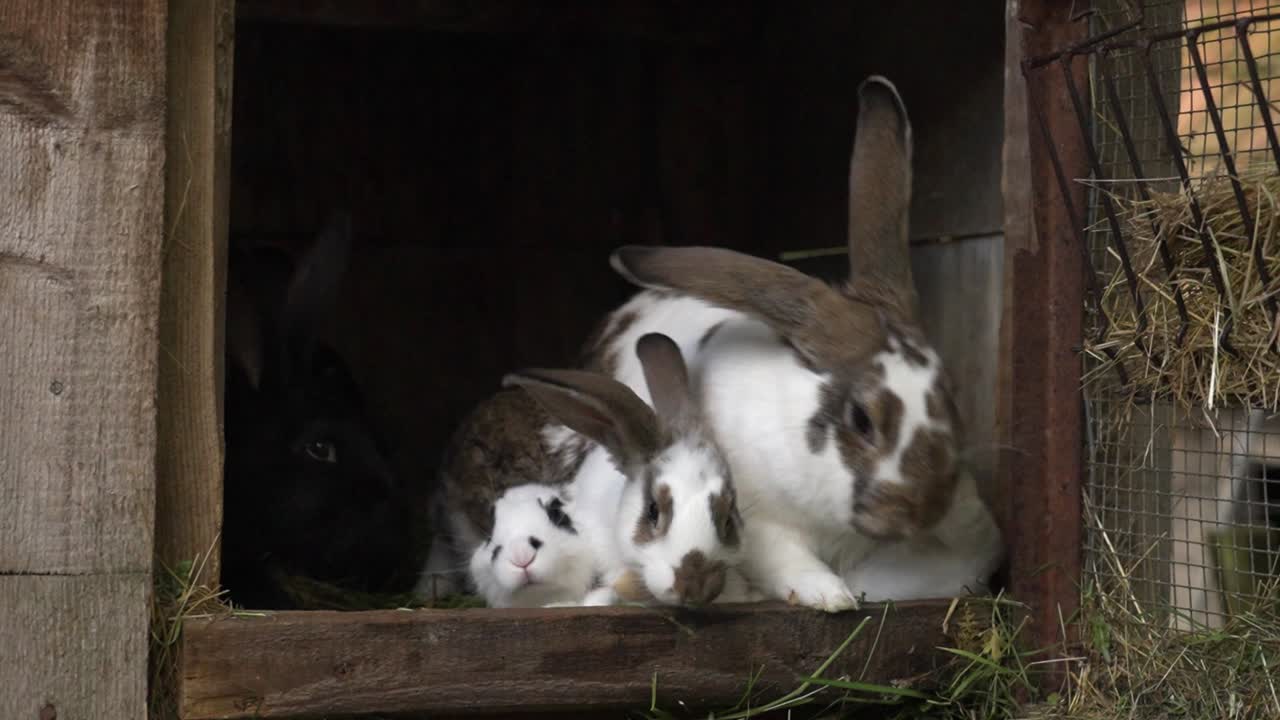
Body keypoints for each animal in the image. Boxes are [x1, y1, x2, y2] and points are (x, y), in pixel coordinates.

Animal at [580, 76, 1004, 611]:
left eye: (951, 392)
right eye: (861, 419)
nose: (923, 507)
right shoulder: (756, 519)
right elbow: (786, 557)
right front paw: (830, 594)